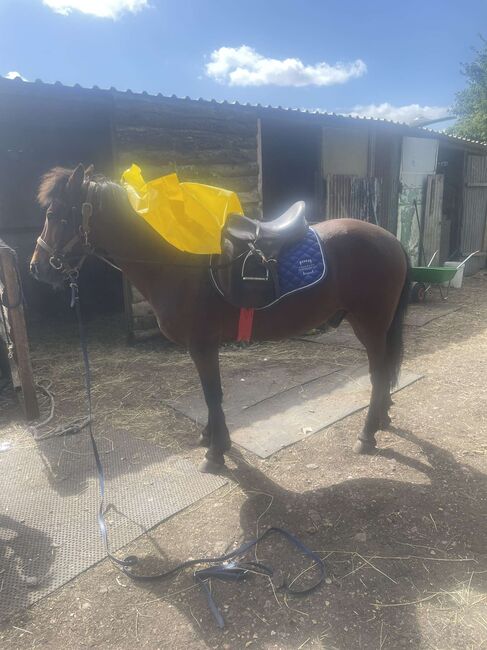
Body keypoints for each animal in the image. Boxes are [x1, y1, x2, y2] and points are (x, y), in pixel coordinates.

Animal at [31, 165, 412, 468]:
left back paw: (367, 434)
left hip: (370, 324)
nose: (37, 268)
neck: (178, 260)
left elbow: (212, 394)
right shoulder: (200, 347)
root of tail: (391, 239)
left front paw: (216, 452)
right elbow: (209, 395)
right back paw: (382, 417)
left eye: (57, 215)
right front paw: (213, 438)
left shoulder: (203, 345)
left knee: (378, 375)